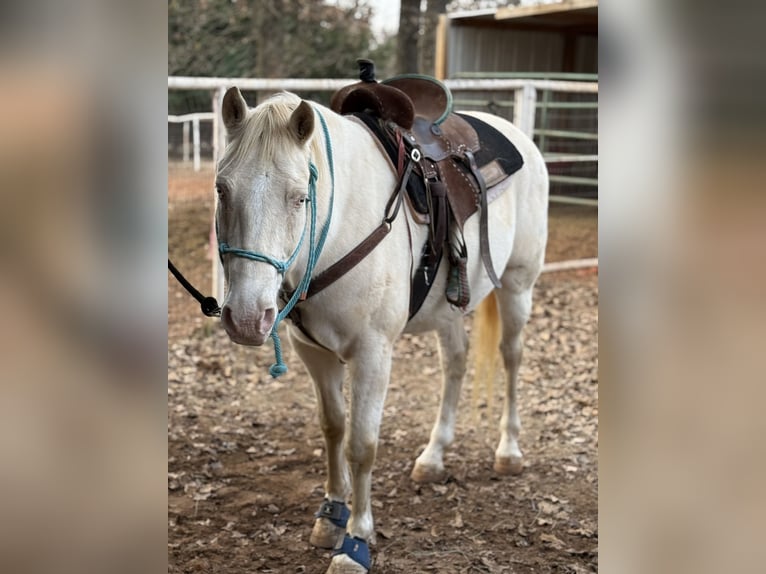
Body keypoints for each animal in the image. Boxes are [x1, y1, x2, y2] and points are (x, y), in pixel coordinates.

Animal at [214, 88, 548, 573]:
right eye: (222, 189)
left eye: (299, 198)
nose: (244, 317)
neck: (337, 228)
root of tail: (518, 136)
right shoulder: (312, 352)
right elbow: (332, 428)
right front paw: (331, 514)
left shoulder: (372, 355)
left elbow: (361, 444)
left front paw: (355, 541)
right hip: (450, 309)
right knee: (455, 363)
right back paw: (433, 456)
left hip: (518, 287)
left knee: (511, 357)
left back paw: (509, 451)